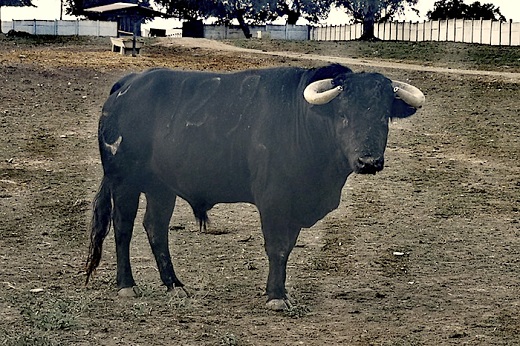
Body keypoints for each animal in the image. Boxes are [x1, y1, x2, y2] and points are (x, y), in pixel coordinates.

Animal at [86, 63, 426, 310]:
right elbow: (276, 247)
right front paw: (275, 296)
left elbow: (287, 248)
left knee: (155, 227)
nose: (369, 161)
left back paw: (175, 286)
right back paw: (126, 286)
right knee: (123, 227)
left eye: (384, 117)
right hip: (124, 181)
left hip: (161, 188)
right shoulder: (273, 199)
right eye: (343, 115)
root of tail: (129, 82)